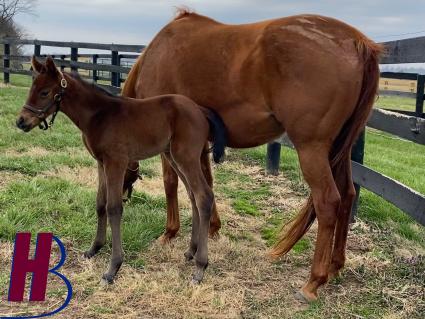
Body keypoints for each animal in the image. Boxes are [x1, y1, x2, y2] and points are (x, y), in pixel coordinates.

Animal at [16, 57, 227, 284]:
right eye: (32, 88)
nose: (21, 121)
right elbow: (100, 204)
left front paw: (113, 268)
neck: (99, 115)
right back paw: (191, 251)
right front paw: (94, 248)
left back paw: (200, 266)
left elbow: (114, 208)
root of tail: (200, 109)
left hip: (186, 157)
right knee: (192, 195)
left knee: (204, 196)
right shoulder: (101, 163)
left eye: (45, 92)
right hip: (173, 157)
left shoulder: (115, 162)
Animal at [121, 8, 380, 302]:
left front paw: (170, 233)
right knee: (347, 195)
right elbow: (205, 186)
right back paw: (336, 265)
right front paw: (212, 227)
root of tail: (357, 42)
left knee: (328, 202)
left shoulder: (171, 145)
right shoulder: (199, 143)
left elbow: (171, 184)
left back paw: (314, 281)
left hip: (312, 149)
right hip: (339, 150)